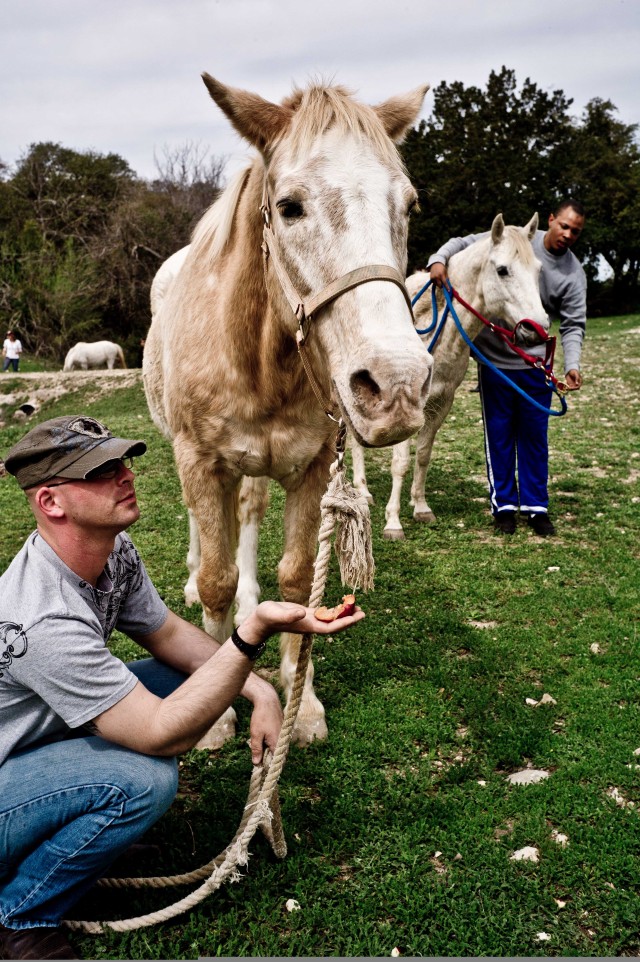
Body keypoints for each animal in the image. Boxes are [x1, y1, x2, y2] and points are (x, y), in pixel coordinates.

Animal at [352, 212, 548, 540]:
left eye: (538, 270)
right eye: (503, 270)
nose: (537, 328)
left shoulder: (441, 404)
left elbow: (423, 455)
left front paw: (420, 507)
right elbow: (400, 462)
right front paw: (393, 522)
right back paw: (361, 492)